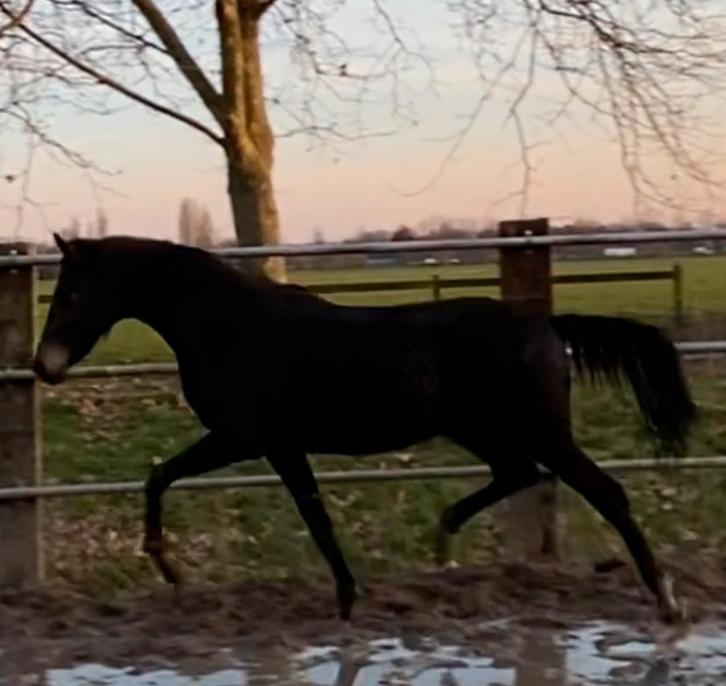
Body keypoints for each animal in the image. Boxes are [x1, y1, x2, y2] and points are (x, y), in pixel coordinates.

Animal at [34, 233, 696, 622]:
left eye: (71, 293)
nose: (44, 366)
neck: (230, 326)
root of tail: (548, 325)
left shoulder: (247, 439)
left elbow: (163, 477)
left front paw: (167, 566)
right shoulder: (280, 446)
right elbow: (315, 516)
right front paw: (349, 598)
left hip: (539, 429)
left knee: (604, 491)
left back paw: (666, 598)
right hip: (480, 430)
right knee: (517, 474)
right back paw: (443, 540)